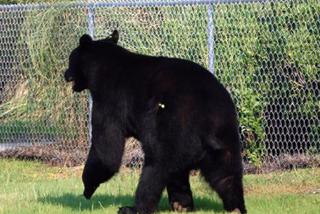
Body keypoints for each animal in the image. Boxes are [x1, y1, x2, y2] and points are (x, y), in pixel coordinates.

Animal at [63, 30, 246, 214]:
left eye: (70, 59)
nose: (65, 73)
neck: (100, 69)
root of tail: (208, 114)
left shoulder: (110, 100)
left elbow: (107, 148)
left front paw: (87, 187)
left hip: (171, 125)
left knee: (155, 168)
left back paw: (134, 208)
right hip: (225, 134)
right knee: (225, 173)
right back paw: (225, 206)